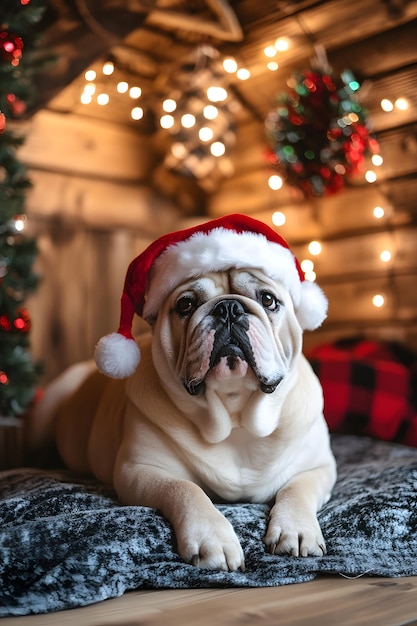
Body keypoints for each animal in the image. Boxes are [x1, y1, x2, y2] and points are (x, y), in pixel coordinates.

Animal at [26, 214, 334, 572]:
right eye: (186, 304)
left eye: (268, 300)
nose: (228, 308)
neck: (234, 414)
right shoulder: (142, 469)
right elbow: (184, 488)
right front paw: (212, 537)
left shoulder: (319, 467)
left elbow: (297, 489)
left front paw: (295, 529)